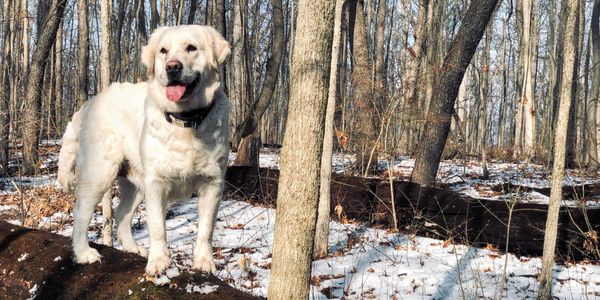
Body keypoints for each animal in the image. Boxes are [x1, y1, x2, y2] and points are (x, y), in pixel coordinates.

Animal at [56, 25, 230, 274]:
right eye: (163, 51)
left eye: (191, 48)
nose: (172, 67)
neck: (186, 121)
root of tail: (89, 104)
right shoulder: (156, 183)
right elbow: (157, 227)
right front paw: (159, 261)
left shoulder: (213, 183)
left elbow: (206, 229)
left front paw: (204, 262)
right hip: (100, 174)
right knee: (81, 213)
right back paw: (84, 253)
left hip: (136, 183)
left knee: (121, 214)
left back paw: (133, 249)